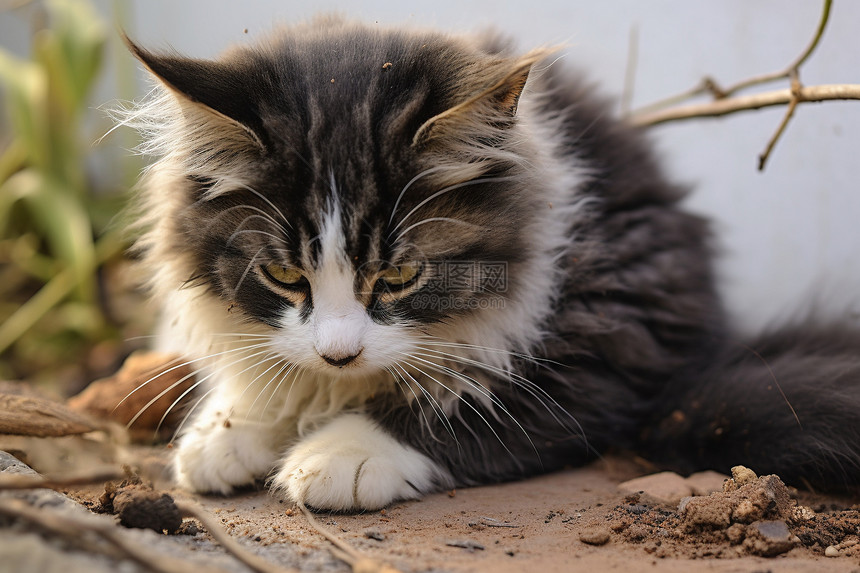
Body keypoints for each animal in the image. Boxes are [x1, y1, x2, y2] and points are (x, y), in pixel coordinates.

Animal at [121, 16, 860, 510]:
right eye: (284, 276)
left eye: (399, 277)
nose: (339, 355)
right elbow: (272, 372)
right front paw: (227, 429)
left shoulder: (612, 336)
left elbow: (467, 407)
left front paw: (340, 452)